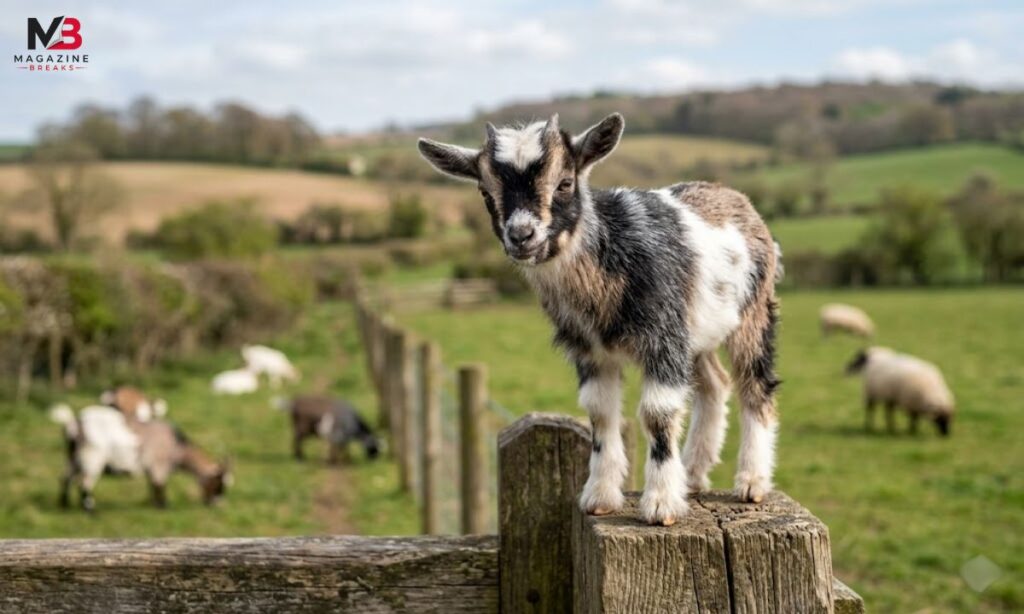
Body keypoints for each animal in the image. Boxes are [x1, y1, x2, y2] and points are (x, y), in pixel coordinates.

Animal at [50, 404, 231, 510]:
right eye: (218, 484)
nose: (218, 504)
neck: (177, 447)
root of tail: (74, 424)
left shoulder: (151, 468)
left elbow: (152, 485)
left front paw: (154, 504)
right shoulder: (159, 465)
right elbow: (160, 485)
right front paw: (164, 506)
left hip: (73, 457)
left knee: (65, 478)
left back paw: (64, 505)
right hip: (92, 457)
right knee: (84, 484)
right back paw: (91, 510)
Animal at [419, 113, 782, 525]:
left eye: (565, 183)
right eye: (484, 192)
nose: (521, 236)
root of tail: (736, 199)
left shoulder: (662, 338)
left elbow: (657, 414)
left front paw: (660, 504)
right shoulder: (591, 350)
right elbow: (600, 413)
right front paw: (600, 496)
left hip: (753, 311)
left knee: (755, 385)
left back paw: (751, 481)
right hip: (696, 331)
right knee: (715, 384)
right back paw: (692, 473)